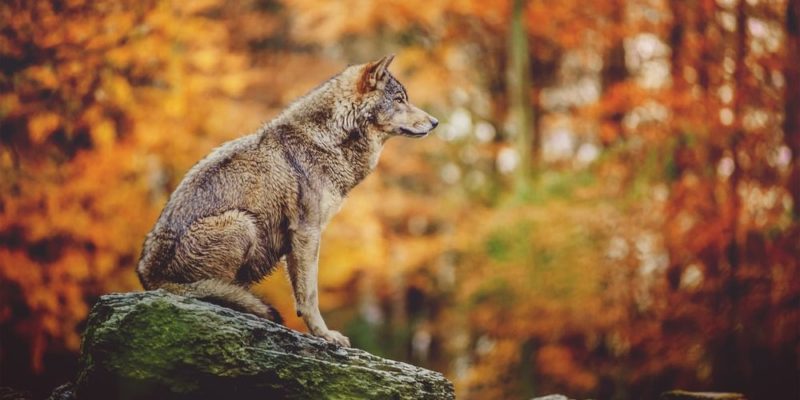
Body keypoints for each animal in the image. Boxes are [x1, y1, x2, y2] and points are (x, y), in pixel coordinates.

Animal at [138, 54, 438, 346]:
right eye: (399, 99)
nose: (435, 122)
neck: (327, 140)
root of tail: (149, 278)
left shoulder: (298, 240)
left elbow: (302, 293)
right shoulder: (307, 231)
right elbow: (310, 295)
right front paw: (326, 335)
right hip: (242, 223)